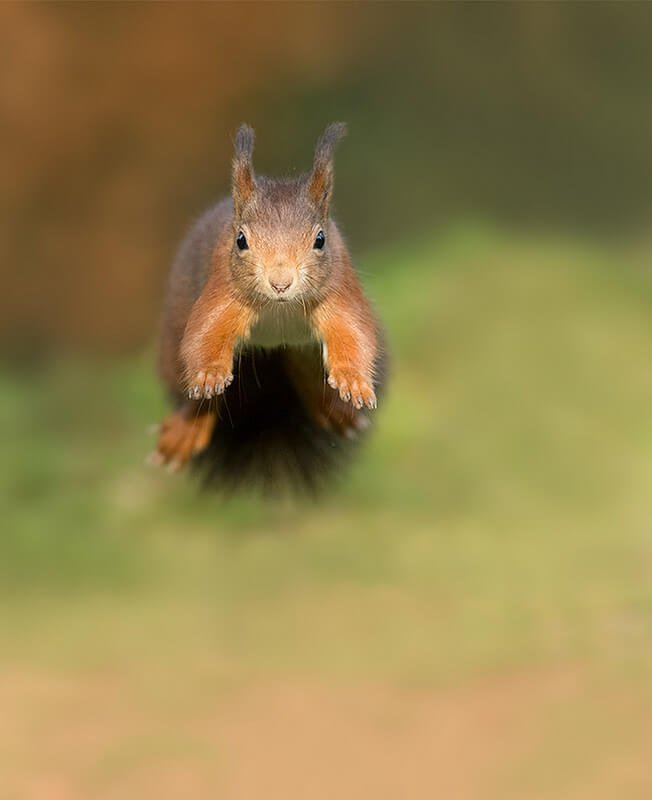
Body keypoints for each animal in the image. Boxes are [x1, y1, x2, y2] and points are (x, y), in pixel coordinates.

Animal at [150, 122, 387, 491]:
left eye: (320, 239)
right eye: (240, 240)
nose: (280, 283)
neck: (280, 309)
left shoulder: (337, 290)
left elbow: (353, 331)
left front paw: (353, 381)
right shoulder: (224, 289)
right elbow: (206, 332)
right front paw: (210, 373)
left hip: (303, 350)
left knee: (308, 371)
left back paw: (337, 411)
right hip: (174, 349)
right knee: (196, 401)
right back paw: (186, 428)